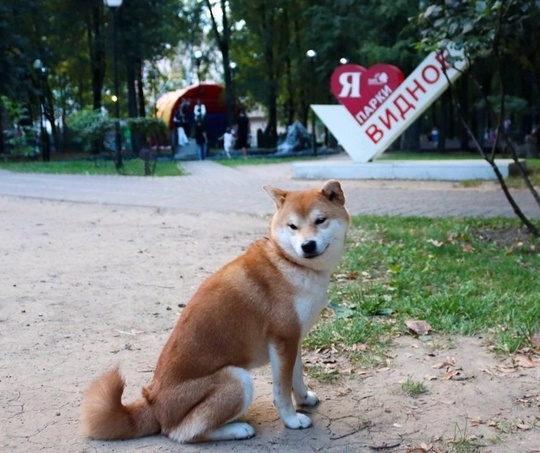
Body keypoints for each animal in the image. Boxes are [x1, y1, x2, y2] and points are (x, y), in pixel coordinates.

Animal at [80, 179, 350, 442]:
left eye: (320, 220)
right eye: (293, 226)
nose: (307, 245)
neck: (289, 263)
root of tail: (153, 402)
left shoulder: (293, 339)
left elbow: (296, 377)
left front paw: (304, 399)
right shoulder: (282, 339)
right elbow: (281, 391)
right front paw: (292, 420)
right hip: (238, 380)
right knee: (182, 433)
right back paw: (238, 430)